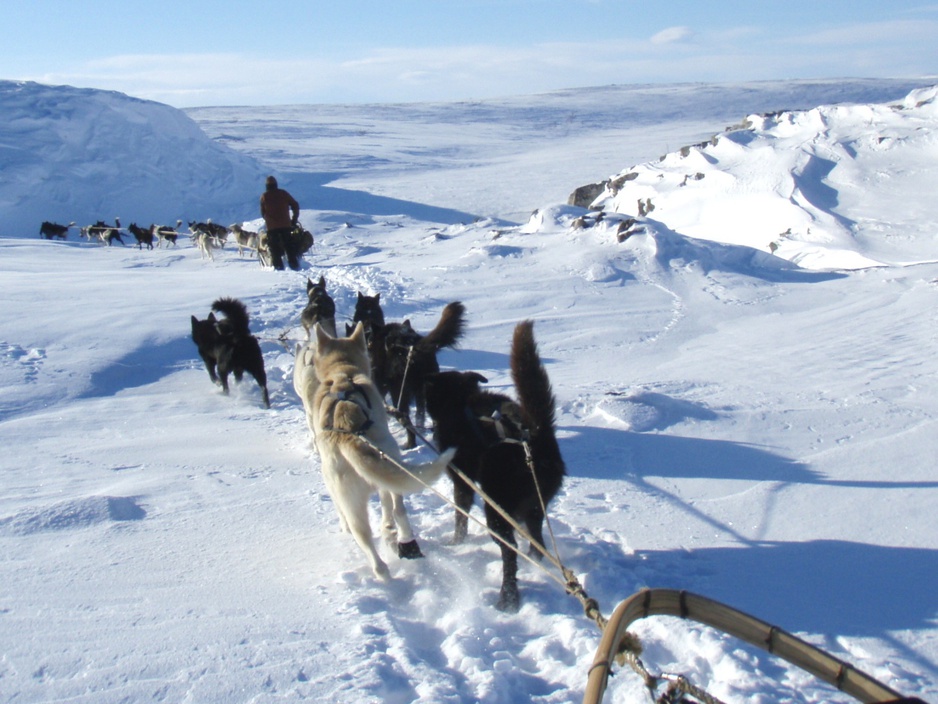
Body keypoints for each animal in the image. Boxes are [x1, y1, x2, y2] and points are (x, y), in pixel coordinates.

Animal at [292, 322, 454, 580]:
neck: (341, 373)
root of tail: (348, 433)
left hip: (351, 494)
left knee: (365, 534)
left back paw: (384, 569)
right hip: (387, 464)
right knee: (397, 509)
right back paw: (401, 543)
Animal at [424, 320, 564, 612]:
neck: (458, 405)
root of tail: (536, 438)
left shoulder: (462, 482)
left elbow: (460, 516)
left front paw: (456, 543)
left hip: (497, 510)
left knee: (509, 553)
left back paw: (507, 597)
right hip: (534, 509)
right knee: (537, 544)